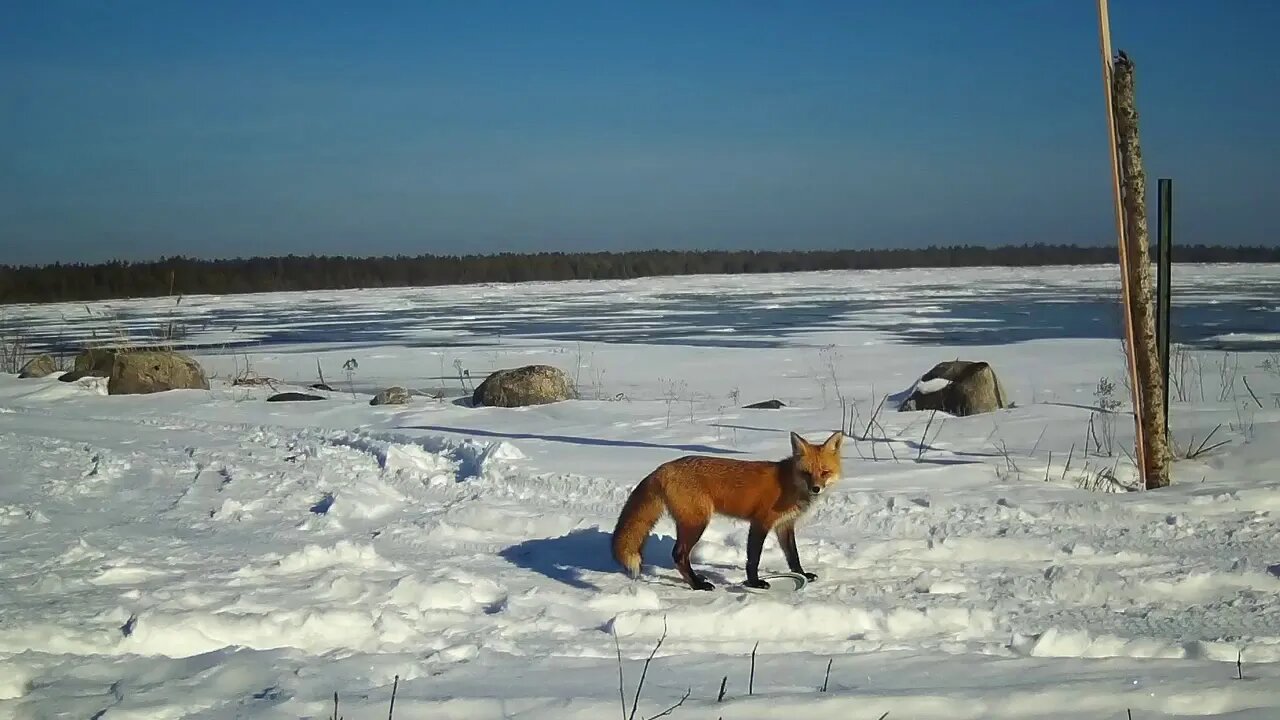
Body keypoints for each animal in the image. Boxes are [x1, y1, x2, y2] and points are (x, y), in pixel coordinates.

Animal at [611, 430, 844, 591]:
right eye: (806, 473)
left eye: (824, 472)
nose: (816, 488)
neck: (787, 483)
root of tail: (663, 468)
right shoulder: (760, 522)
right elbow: (753, 558)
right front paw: (754, 583)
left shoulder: (784, 525)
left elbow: (793, 556)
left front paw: (803, 574)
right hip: (697, 523)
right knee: (678, 555)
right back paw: (697, 585)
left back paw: (697, 580)